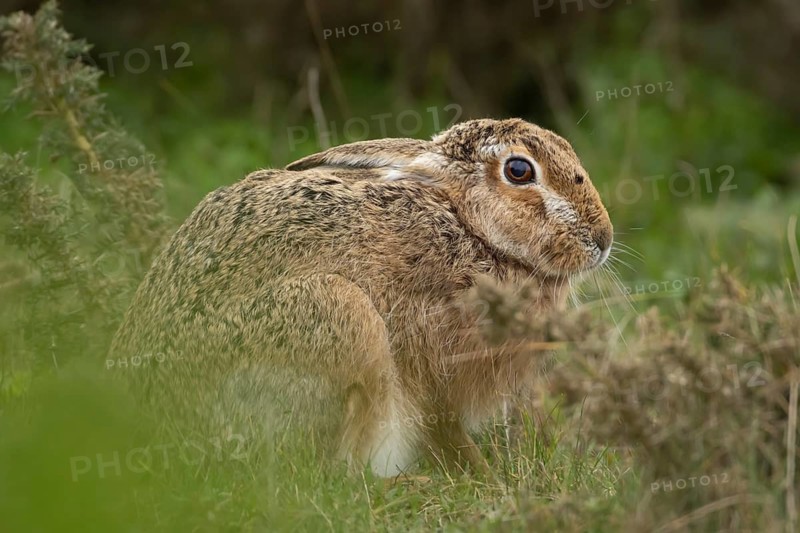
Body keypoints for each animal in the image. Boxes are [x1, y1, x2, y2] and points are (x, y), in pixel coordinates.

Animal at [109, 117, 613, 477]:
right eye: (519, 170)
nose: (602, 239)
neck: (472, 231)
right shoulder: (434, 375)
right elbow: (446, 430)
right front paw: (486, 479)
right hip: (339, 316)